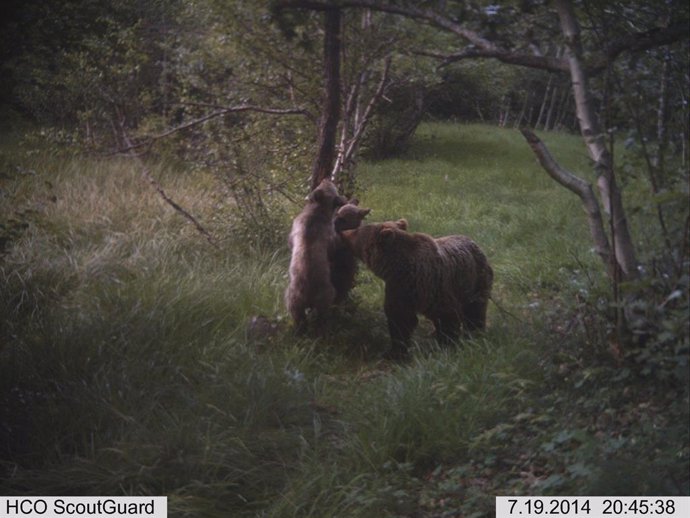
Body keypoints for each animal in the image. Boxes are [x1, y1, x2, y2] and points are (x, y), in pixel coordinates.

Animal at [284, 179, 346, 334]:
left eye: (326, 186)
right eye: (332, 187)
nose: (326, 179)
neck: (316, 210)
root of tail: (308, 295)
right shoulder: (331, 236)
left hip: (293, 302)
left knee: (300, 320)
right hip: (326, 297)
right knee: (321, 318)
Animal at [338, 220, 490, 362]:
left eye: (357, 230)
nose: (343, 232)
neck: (398, 268)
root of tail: (473, 242)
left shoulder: (433, 286)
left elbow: (446, 316)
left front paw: (447, 345)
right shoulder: (399, 289)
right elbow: (400, 320)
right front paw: (395, 352)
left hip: (475, 281)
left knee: (475, 310)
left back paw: (475, 332)